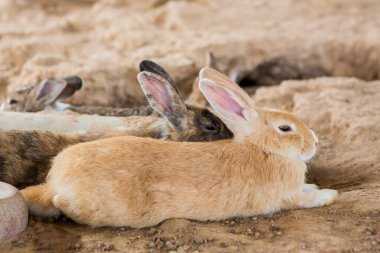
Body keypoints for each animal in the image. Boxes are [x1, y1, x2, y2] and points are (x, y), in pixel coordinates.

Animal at [20, 67, 336, 227]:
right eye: (285, 129)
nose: (315, 142)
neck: (264, 149)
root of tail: (56, 183)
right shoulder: (288, 197)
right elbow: (307, 198)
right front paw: (329, 195)